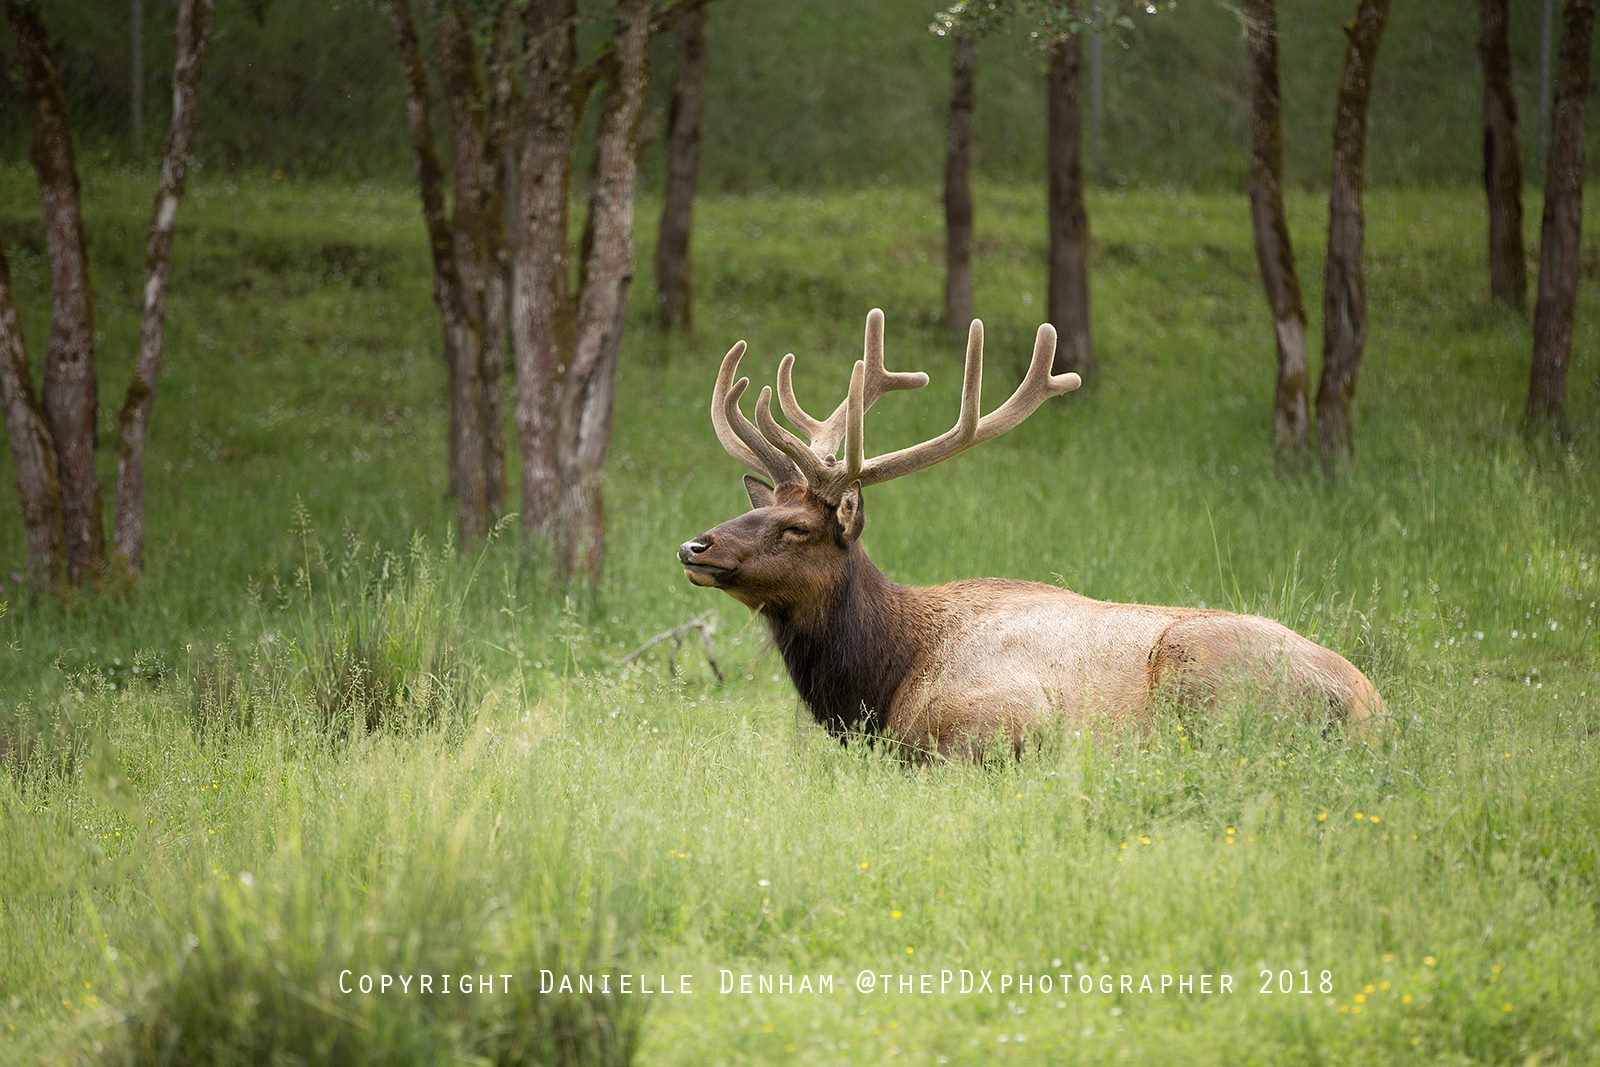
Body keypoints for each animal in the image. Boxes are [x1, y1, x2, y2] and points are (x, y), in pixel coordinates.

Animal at [681, 308, 1382, 758]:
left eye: (798, 527)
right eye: (757, 508)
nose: (695, 545)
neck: (881, 679)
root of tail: (1371, 709)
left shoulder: (1001, 717)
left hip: (1204, 674)